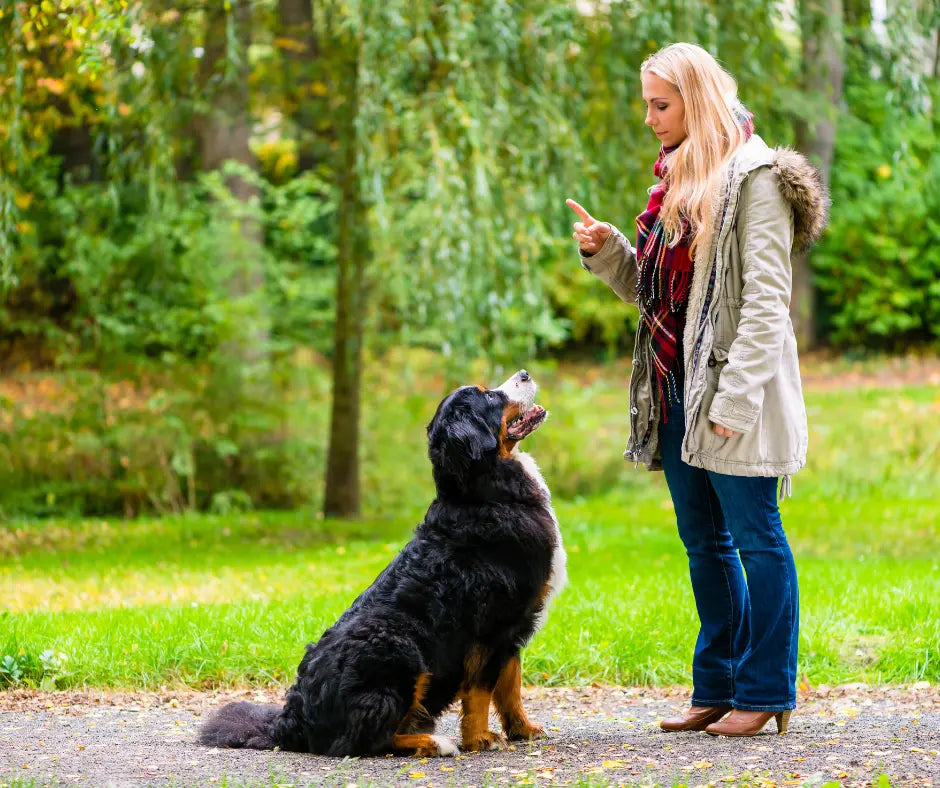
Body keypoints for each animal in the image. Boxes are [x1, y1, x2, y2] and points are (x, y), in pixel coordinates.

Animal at [198, 370, 564, 756]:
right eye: (490, 397)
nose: (524, 373)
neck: (485, 494)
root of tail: (291, 720)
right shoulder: (493, 625)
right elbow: (481, 690)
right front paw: (479, 738)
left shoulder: (514, 627)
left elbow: (510, 687)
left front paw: (523, 729)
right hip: (398, 646)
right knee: (367, 739)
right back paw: (435, 742)